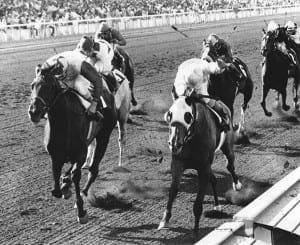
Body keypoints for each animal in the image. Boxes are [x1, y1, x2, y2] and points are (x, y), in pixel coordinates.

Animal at [28, 60, 130, 223]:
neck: (65, 122)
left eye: (50, 86)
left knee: (93, 169)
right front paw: (64, 183)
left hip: (104, 136)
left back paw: (83, 190)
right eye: (32, 85)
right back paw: (66, 181)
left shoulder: (81, 152)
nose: (34, 112)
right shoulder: (55, 155)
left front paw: (81, 210)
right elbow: (56, 187)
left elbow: (76, 175)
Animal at [158, 95, 243, 232]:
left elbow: (198, 203)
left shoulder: (203, 167)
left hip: (227, 147)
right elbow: (173, 190)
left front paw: (196, 230)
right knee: (213, 179)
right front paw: (165, 220)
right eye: (170, 114)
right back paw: (217, 205)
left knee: (230, 165)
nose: (174, 144)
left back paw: (237, 185)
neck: (192, 138)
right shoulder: (178, 163)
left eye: (187, 116)